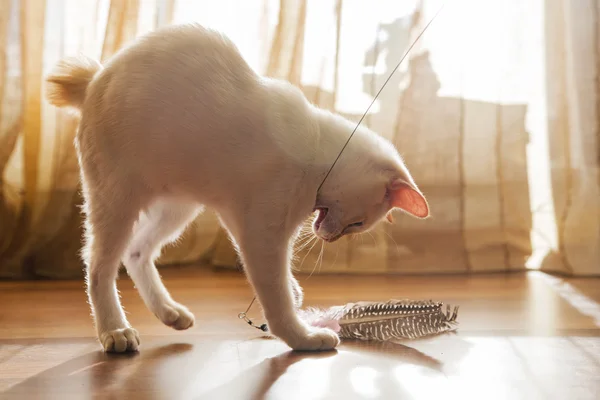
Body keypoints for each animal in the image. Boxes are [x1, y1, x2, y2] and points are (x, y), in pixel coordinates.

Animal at [47, 23, 428, 352]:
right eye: (358, 224)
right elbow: (277, 299)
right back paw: (114, 330)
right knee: (98, 265)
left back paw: (169, 313)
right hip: (117, 202)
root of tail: (94, 78)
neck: (317, 147)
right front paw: (303, 337)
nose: (330, 238)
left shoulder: (238, 219)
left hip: (178, 208)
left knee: (136, 252)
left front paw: (295, 294)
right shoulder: (261, 236)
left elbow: (282, 286)